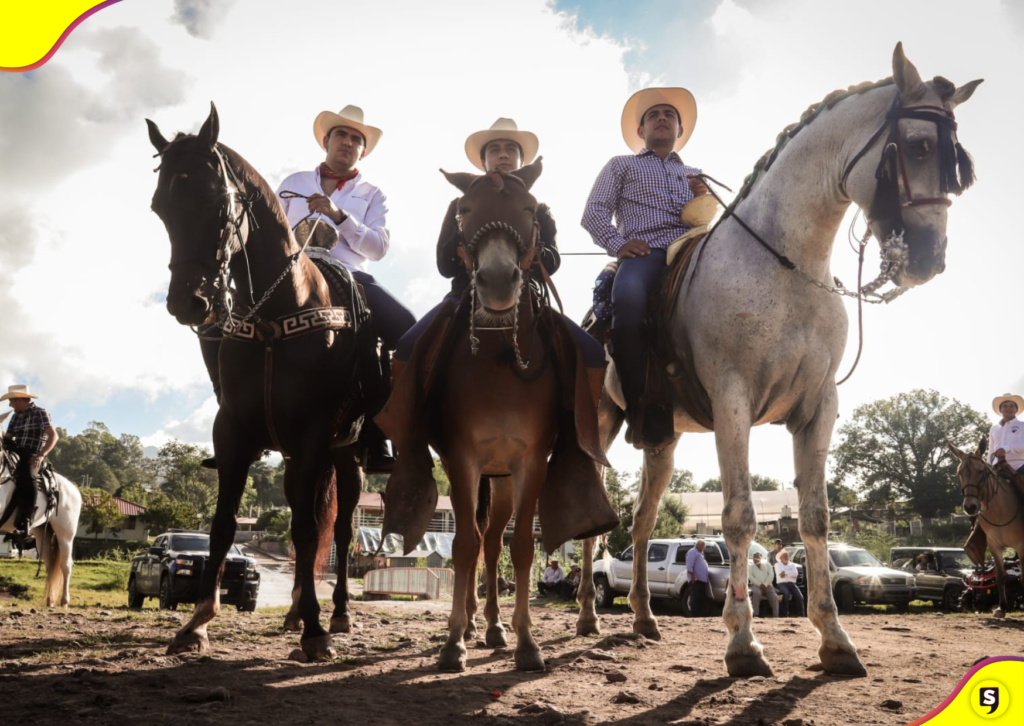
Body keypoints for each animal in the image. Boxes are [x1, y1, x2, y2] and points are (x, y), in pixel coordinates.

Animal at [0, 413, 80, 606]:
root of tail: (74, 490)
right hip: (41, 532)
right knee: (50, 565)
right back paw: (50, 600)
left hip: (65, 534)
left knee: (66, 565)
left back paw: (64, 601)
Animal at [577, 43, 983, 679]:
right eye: (918, 146)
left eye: (956, 162)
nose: (928, 258)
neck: (786, 264)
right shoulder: (733, 403)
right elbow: (739, 519)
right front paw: (743, 644)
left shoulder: (819, 408)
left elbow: (816, 518)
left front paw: (836, 640)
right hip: (598, 428)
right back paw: (585, 617)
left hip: (662, 441)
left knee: (641, 523)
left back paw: (642, 618)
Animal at [942, 438, 1024, 614]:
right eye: (960, 473)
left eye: (980, 471)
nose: (970, 507)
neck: (1001, 512)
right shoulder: (994, 545)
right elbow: (1000, 575)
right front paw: (1001, 608)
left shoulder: (1021, 546)